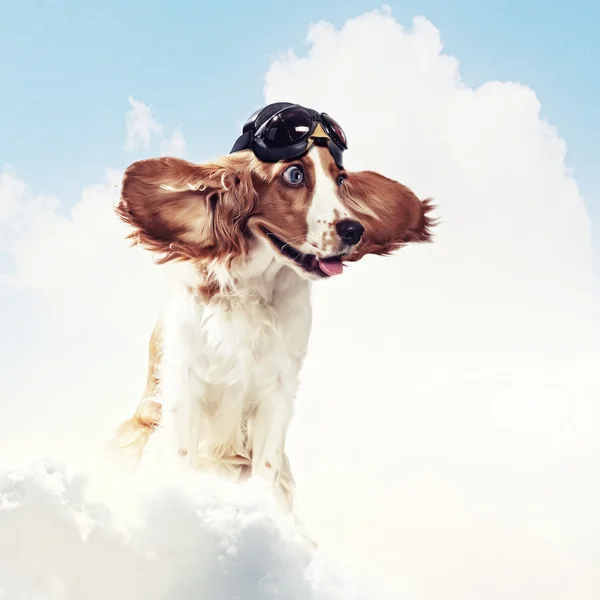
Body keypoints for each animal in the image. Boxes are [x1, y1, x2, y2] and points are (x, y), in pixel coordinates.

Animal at [109, 103, 436, 520]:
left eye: (340, 179)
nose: (354, 230)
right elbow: (182, 455)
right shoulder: (185, 377)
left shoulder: (279, 387)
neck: (252, 287)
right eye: (294, 175)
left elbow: (267, 466)